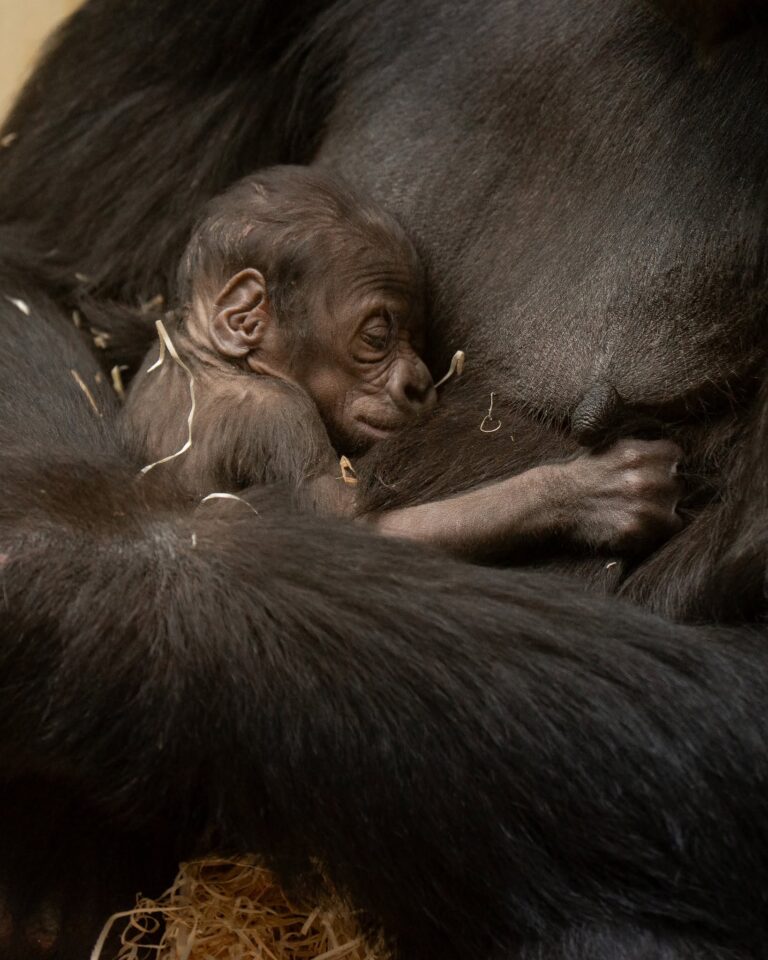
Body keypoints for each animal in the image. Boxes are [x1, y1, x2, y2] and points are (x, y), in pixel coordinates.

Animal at [122, 166, 683, 562]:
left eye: (416, 338)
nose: (418, 384)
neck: (210, 358)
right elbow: (346, 525)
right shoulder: (274, 416)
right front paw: (584, 494)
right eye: (378, 335)